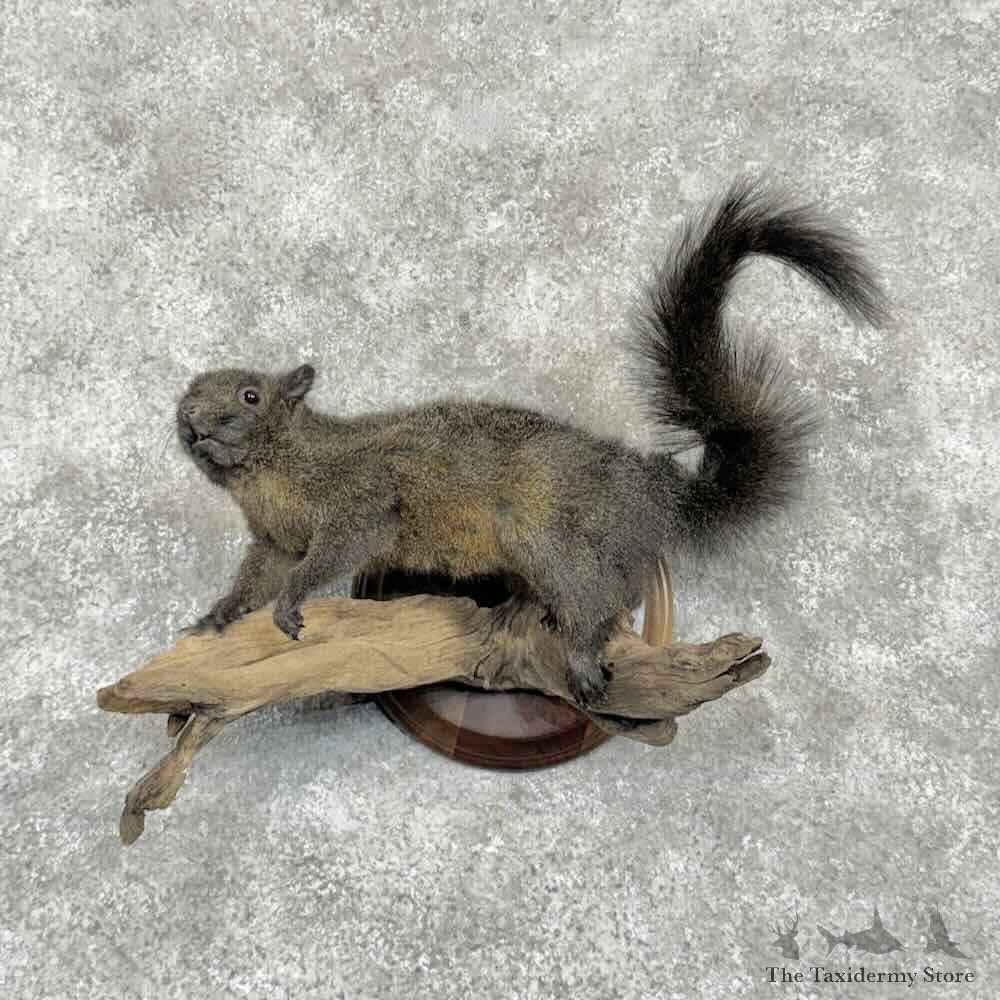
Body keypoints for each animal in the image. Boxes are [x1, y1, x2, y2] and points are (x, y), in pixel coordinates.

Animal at [176, 177, 887, 707]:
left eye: (250, 396)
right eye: (185, 391)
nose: (192, 424)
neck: (277, 471)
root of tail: (653, 490)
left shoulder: (362, 499)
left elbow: (338, 549)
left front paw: (292, 603)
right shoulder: (274, 538)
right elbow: (257, 576)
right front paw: (217, 615)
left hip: (547, 534)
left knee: (603, 601)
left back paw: (578, 650)